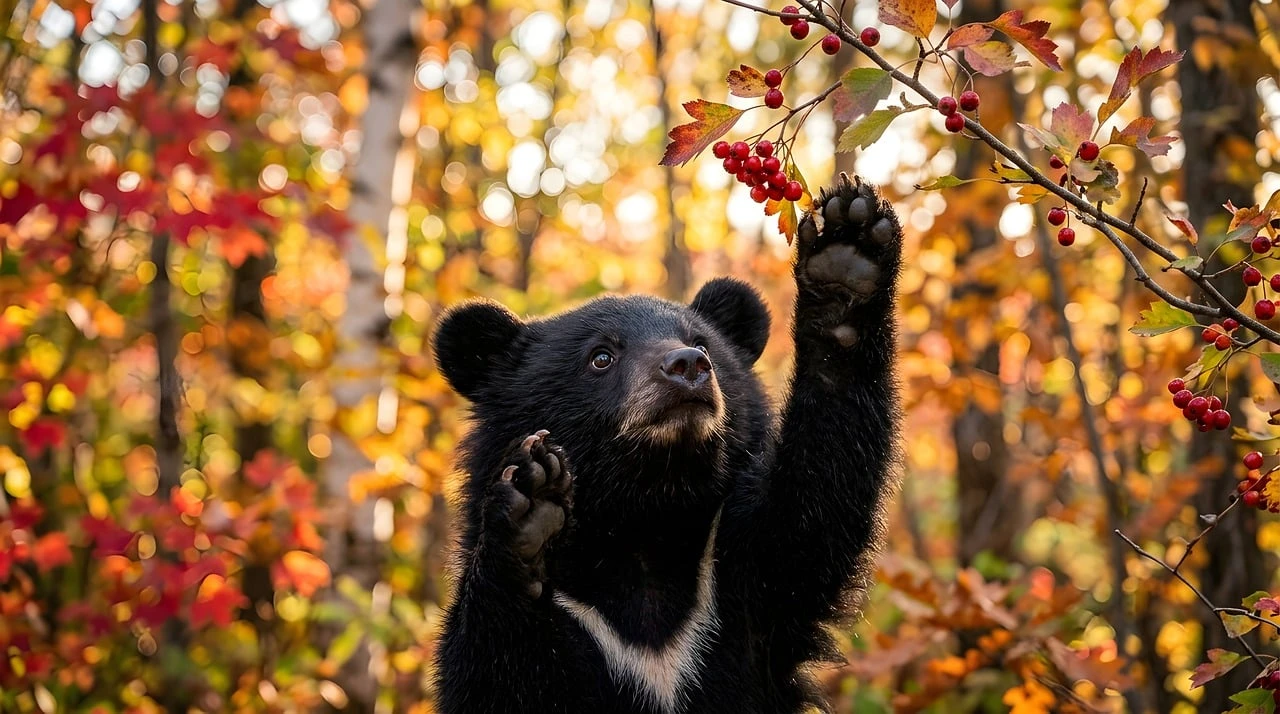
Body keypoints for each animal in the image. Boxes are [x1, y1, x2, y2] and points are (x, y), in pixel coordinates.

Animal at [431, 174, 901, 714]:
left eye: (700, 341)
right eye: (601, 356)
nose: (688, 366)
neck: (645, 520)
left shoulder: (742, 583)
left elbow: (814, 507)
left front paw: (847, 253)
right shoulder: (564, 629)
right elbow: (488, 669)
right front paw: (531, 506)